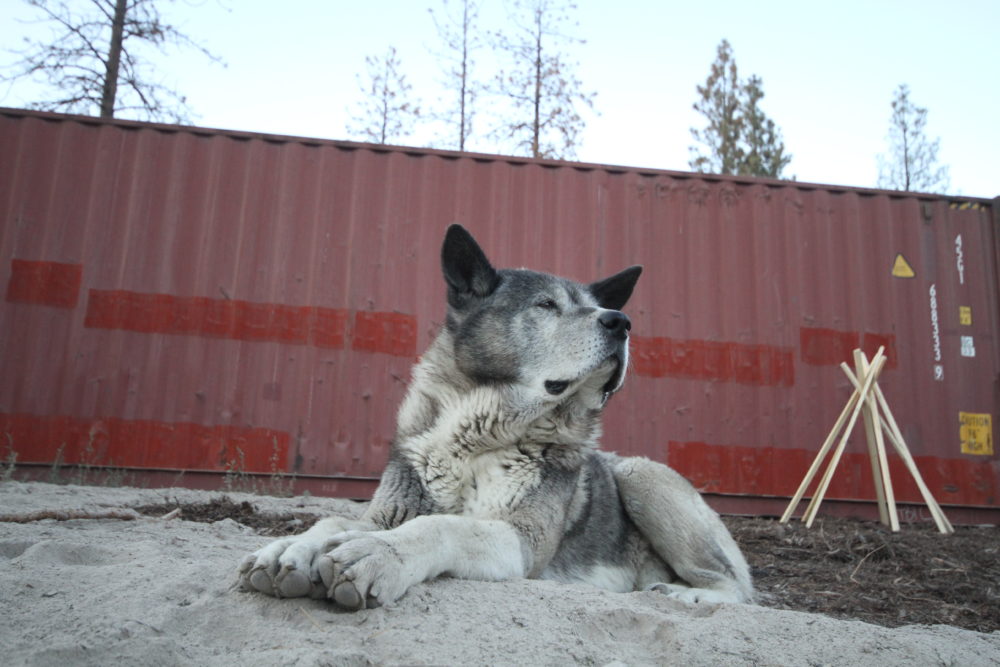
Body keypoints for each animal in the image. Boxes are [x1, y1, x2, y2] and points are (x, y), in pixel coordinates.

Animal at [238, 226, 752, 612]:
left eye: (593, 306)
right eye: (546, 305)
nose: (621, 321)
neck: (476, 434)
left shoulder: (520, 540)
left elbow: (440, 526)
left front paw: (380, 553)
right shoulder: (391, 507)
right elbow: (332, 520)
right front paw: (291, 547)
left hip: (641, 474)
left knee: (737, 588)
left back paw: (684, 596)